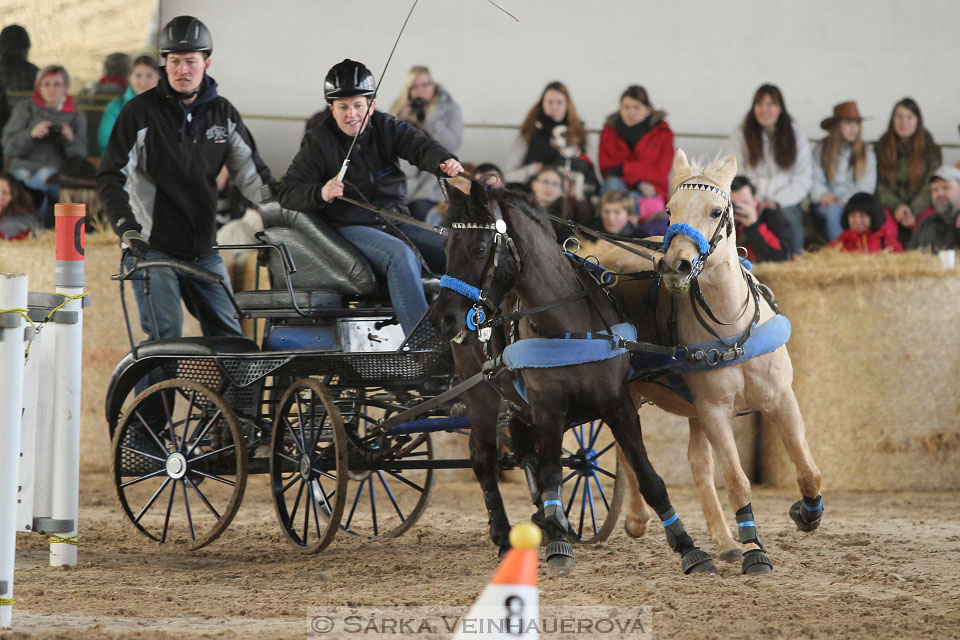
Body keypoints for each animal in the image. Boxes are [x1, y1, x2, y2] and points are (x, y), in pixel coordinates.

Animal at [432, 179, 716, 576]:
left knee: (523, 451)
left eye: (478, 248)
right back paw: (506, 534)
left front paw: (689, 547)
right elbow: (552, 474)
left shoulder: (617, 404)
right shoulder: (547, 408)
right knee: (485, 457)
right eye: (445, 247)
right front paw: (558, 546)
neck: (567, 324)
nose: (442, 318)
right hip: (481, 393)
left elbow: (649, 477)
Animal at [596, 151, 820, 576]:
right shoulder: (715, 410)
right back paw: (638, 519)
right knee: (629, 453)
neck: (732, 326)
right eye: (669, 210)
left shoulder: (781, 398)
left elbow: (807, 470)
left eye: (717, 211)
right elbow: (736, 480)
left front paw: (806, 513)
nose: (675, 265)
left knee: (697, 463)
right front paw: (754, 551)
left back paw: (724, 541)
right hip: (630, 395)